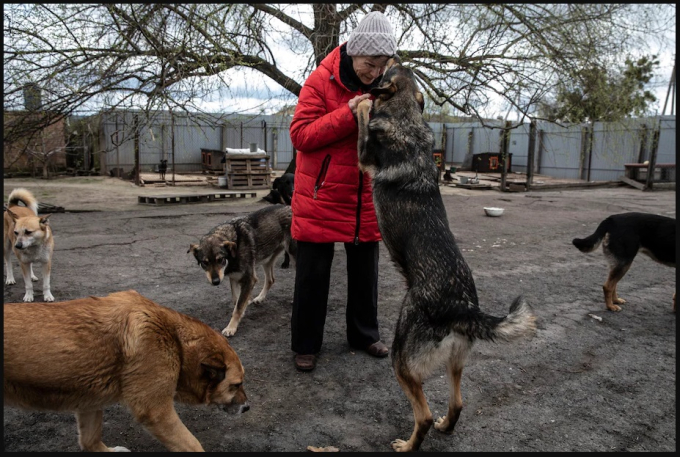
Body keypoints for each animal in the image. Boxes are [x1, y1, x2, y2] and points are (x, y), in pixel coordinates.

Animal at [3, 290, 248, 450]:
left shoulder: (89, 401)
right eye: (236, 385)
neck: (175, 340)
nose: (247, 407)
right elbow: (193, 444)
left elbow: (90, 440)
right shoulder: (156, 412)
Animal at [187, 205, 296, 336]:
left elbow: (238, 306)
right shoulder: (234, 277)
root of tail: (289, 206)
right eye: (205, 262)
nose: (216, 282)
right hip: (267, 259)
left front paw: (231, 327)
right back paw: (260, 298)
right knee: (270, 280)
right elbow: (236, 300)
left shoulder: (250, 279)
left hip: (294, 256)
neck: (234, 249)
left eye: (220, 260)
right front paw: (242, 310)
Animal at [356, 56, 536, 448]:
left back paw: (408, 444)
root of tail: (463, 308)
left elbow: (363, 119)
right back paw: (444, 425)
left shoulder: (365, 156)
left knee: (421, 414)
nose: (396, 54)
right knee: (457, 403)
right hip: (455, 361)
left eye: (391, 68)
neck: (406, 118)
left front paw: (359, 103)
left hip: (401, 359)